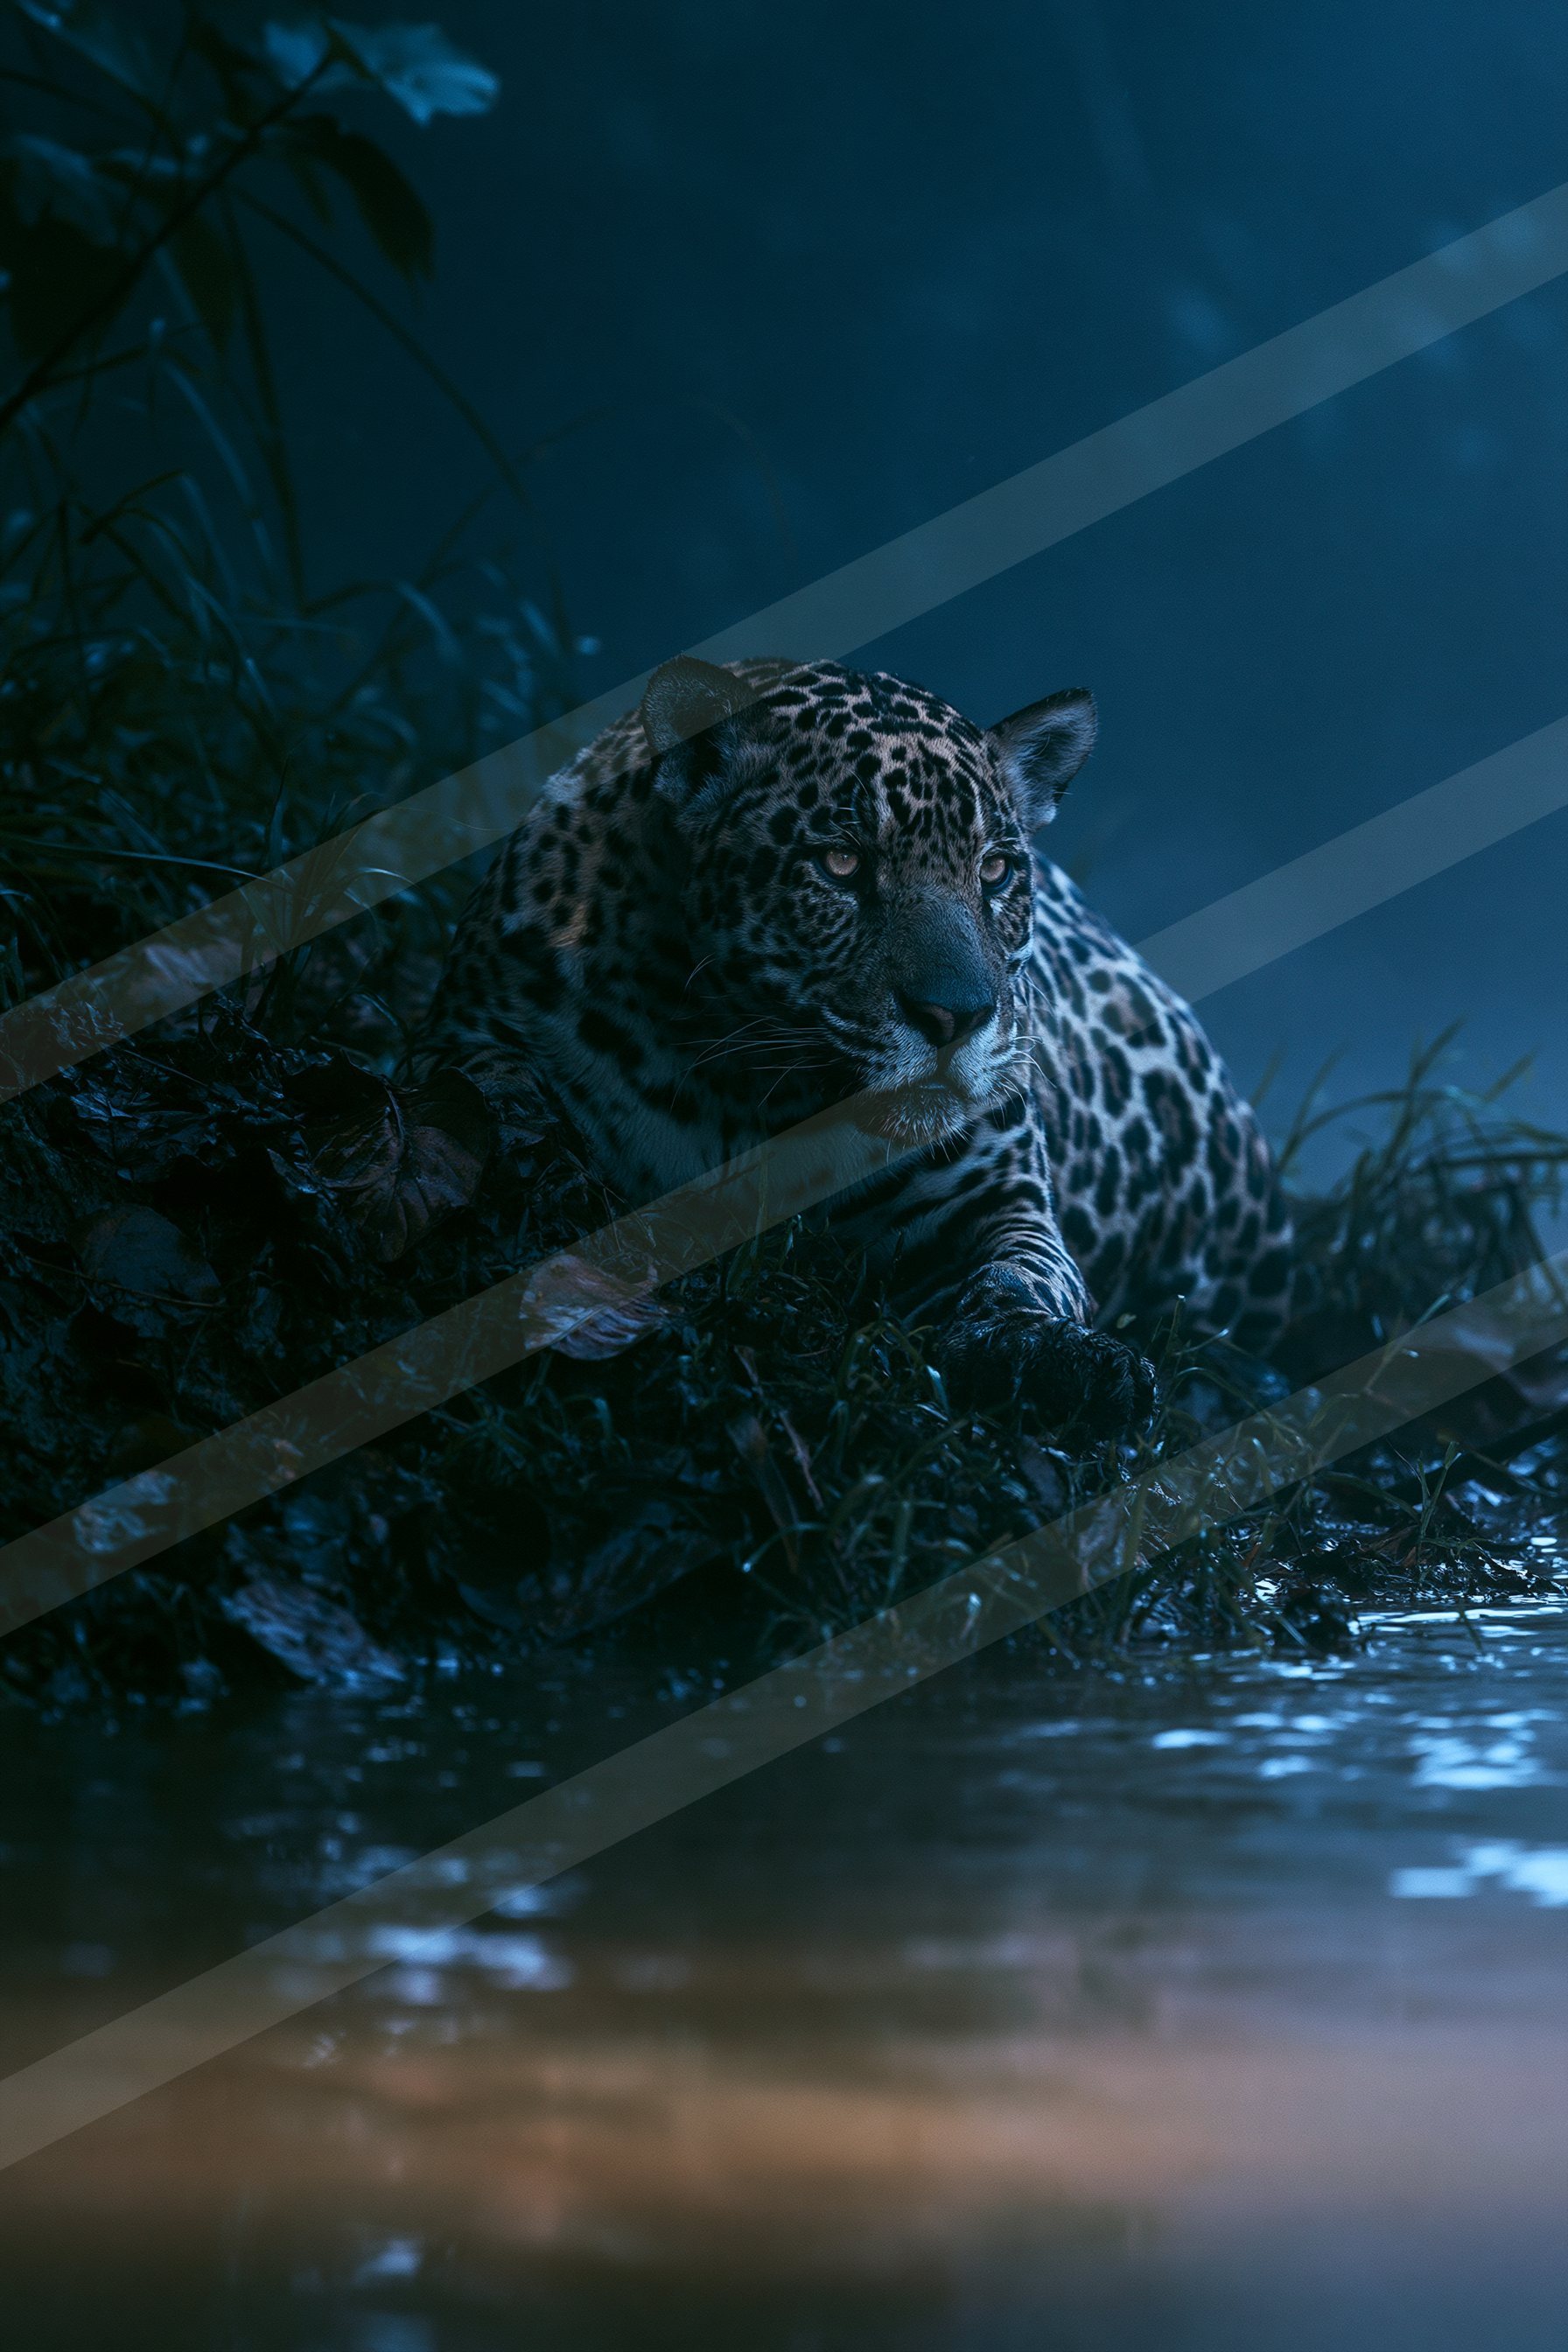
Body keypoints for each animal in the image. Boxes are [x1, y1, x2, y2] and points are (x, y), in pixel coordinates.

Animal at [415, 655, 1292, 1436]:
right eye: (840, 863)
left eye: (996, 871)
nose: (958, 1016)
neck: (747, 1086)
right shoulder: (472, 1036)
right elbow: (504, 1115)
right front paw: (563, 1188)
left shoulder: (992, 1195)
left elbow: (1023, 1276)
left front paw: (1068, 1364)